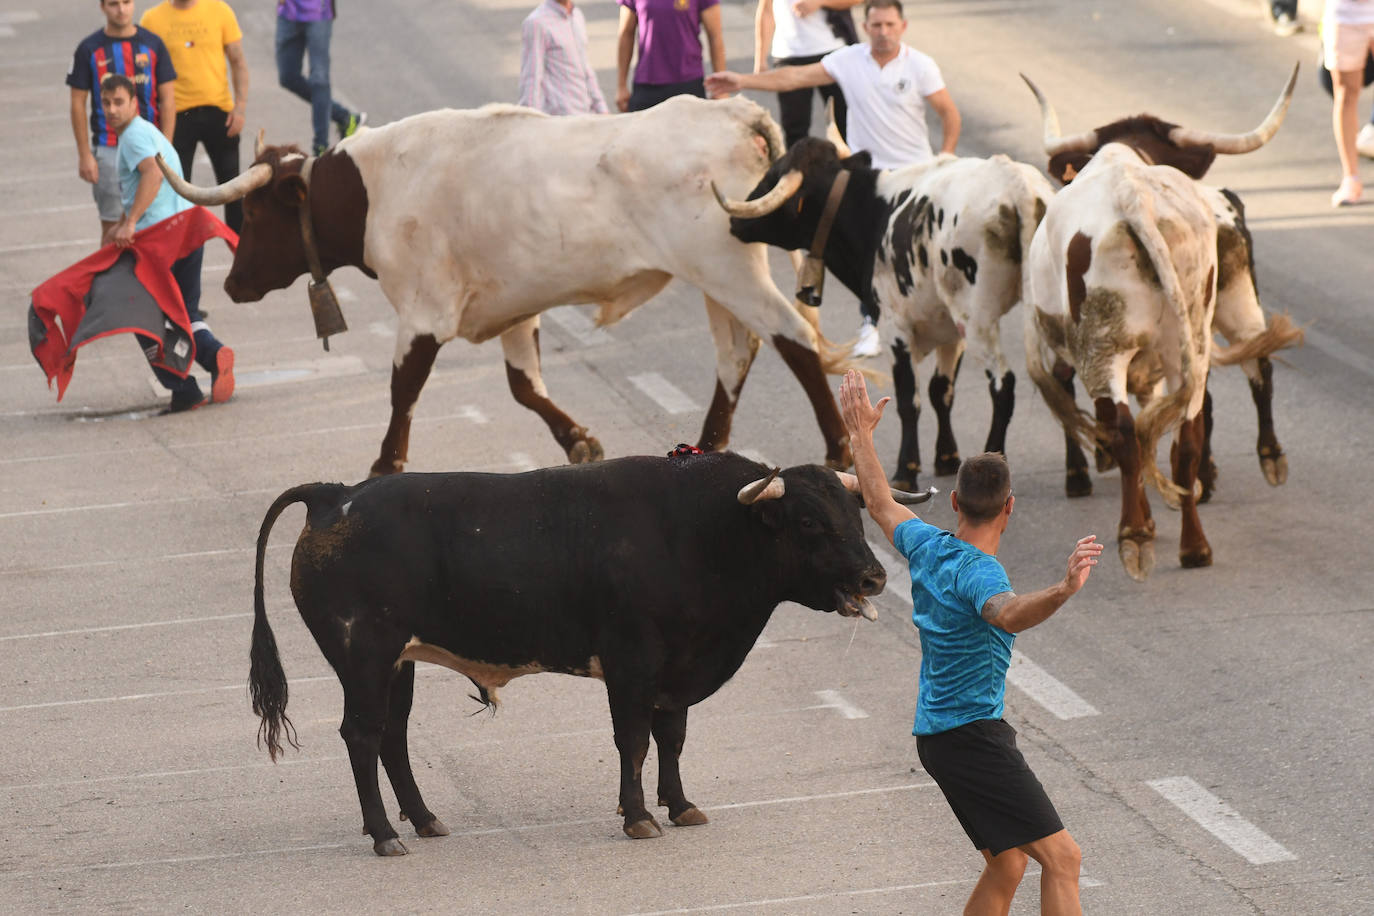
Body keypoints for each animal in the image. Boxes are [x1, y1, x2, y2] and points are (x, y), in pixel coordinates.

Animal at [248, 455, 890, 856]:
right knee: (361, 735)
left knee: (392, 735)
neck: (700, 529)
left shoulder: (676, 670)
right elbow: (634, 741)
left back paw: (425, 821)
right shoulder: (632, 663)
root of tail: (336, 495)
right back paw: (385, 834)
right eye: (808, 520)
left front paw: (680, 805)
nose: (875, 577)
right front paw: (639, 818)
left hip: (398, 662)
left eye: (854, 513)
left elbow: (673, 738)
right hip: (364, 655)